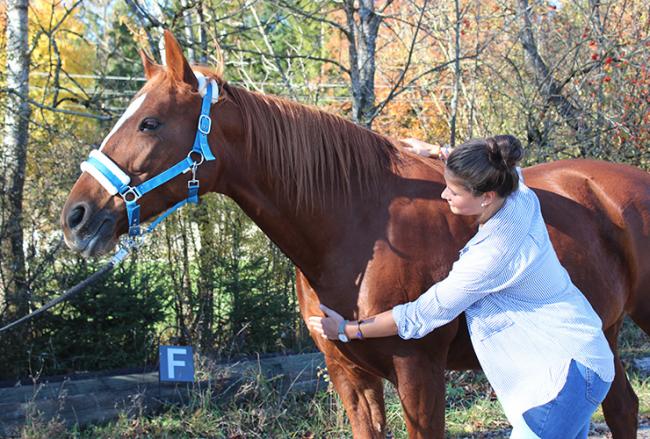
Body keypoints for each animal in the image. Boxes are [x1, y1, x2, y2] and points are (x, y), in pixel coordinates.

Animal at [61, 30, 650, 438]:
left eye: (151, 123)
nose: (77, 216)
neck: (357, 231)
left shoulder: (419, 373)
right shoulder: (349, 376)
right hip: (604, 331)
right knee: (622, 407)